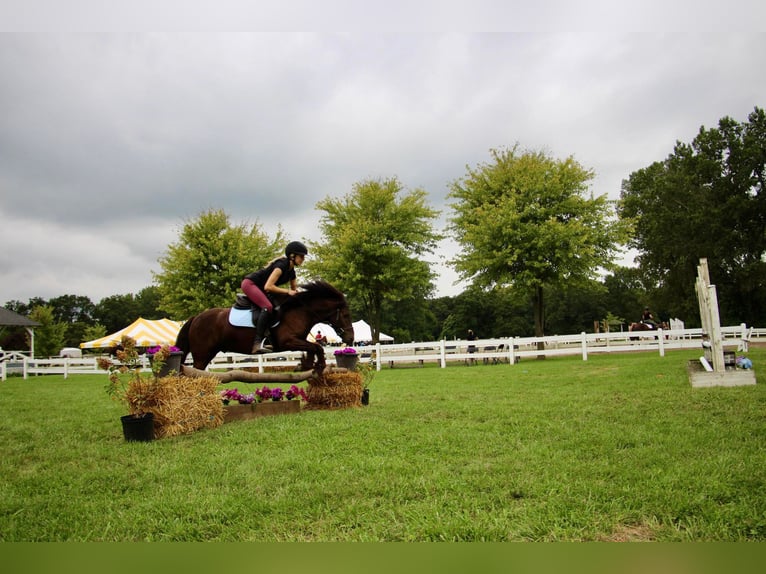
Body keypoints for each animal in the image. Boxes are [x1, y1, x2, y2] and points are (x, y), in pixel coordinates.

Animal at [176, 282, 356, 374]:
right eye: (346, 315)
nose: (351, 338)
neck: (300, 311)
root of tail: (195, 318)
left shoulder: (299, 340)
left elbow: (313, 348)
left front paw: (306, 364)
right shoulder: (288, 342)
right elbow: (317, 347)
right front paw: (316, 365)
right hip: (202, 354)